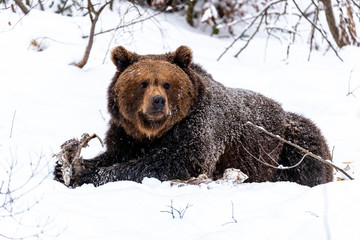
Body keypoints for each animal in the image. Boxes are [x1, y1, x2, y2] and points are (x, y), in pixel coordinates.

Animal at [54, 45, 334, 188]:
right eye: (143, 83)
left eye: (166, 84)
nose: (158, 101)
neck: (154, 131)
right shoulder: (126, 132)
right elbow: (114, 153)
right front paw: (66, 167)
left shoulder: (198, 127)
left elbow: (175, 162)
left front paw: (86, 175)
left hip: (284, 138)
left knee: (307, 153)